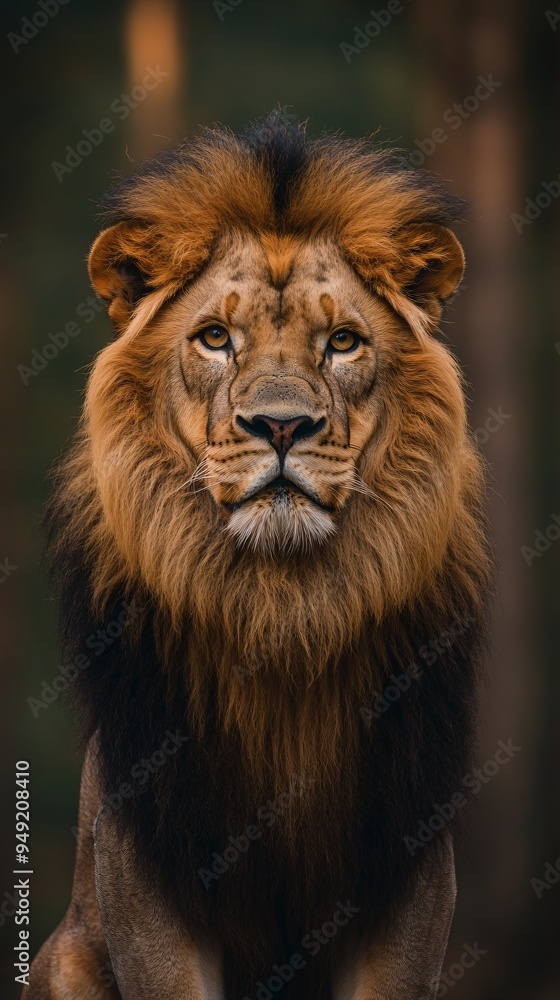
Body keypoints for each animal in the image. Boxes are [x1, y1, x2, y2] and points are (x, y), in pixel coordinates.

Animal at [25, 113, 492, 1000]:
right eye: (215, 338)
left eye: (343, 342)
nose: (281, 426)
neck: (282, 611)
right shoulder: (148, 882)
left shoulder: (411, 880)